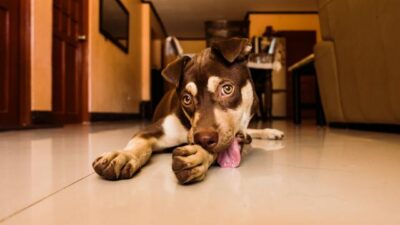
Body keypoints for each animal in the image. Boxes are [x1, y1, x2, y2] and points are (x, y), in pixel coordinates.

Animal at [92, 37, 282, 185]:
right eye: (186, 99)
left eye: (227, 89)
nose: (203, 139)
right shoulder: (151, 130)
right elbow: (139, 143)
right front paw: (122, 155)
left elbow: (217, 148)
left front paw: (198, 156)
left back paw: (270, 131)